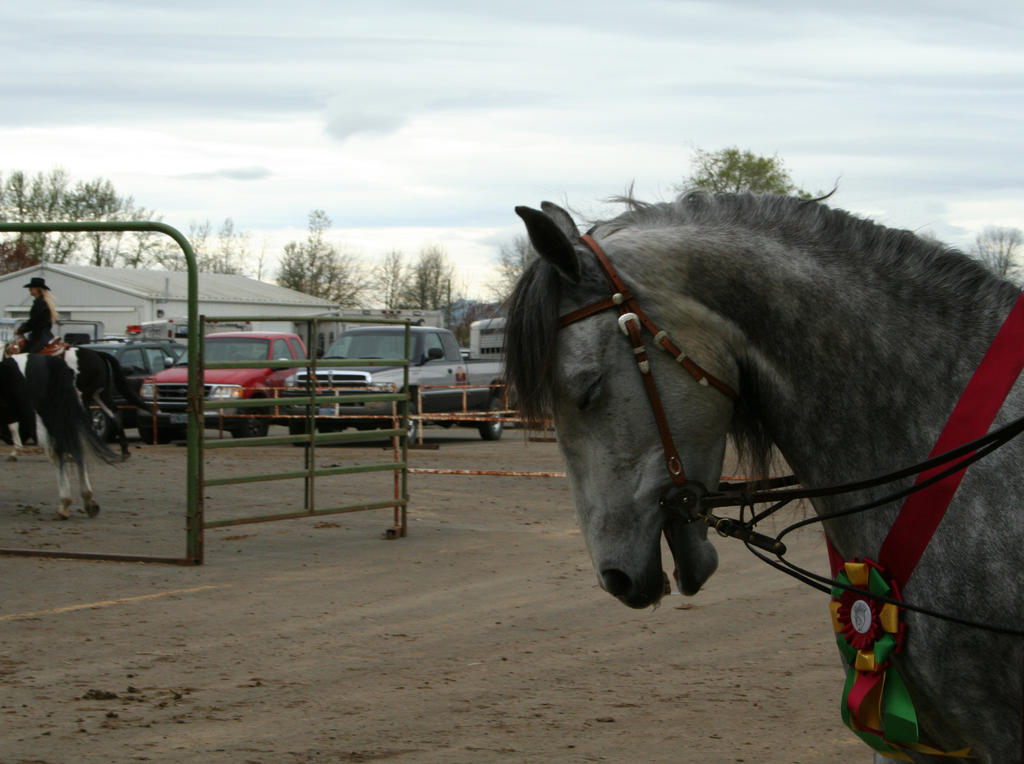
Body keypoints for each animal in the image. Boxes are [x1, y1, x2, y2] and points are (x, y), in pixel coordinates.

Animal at [0, 354, 121, 519]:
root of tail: (50, 362)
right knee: (78, 450)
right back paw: (88, 501)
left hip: (42, 422)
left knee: (58, 454)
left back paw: (64, 504)